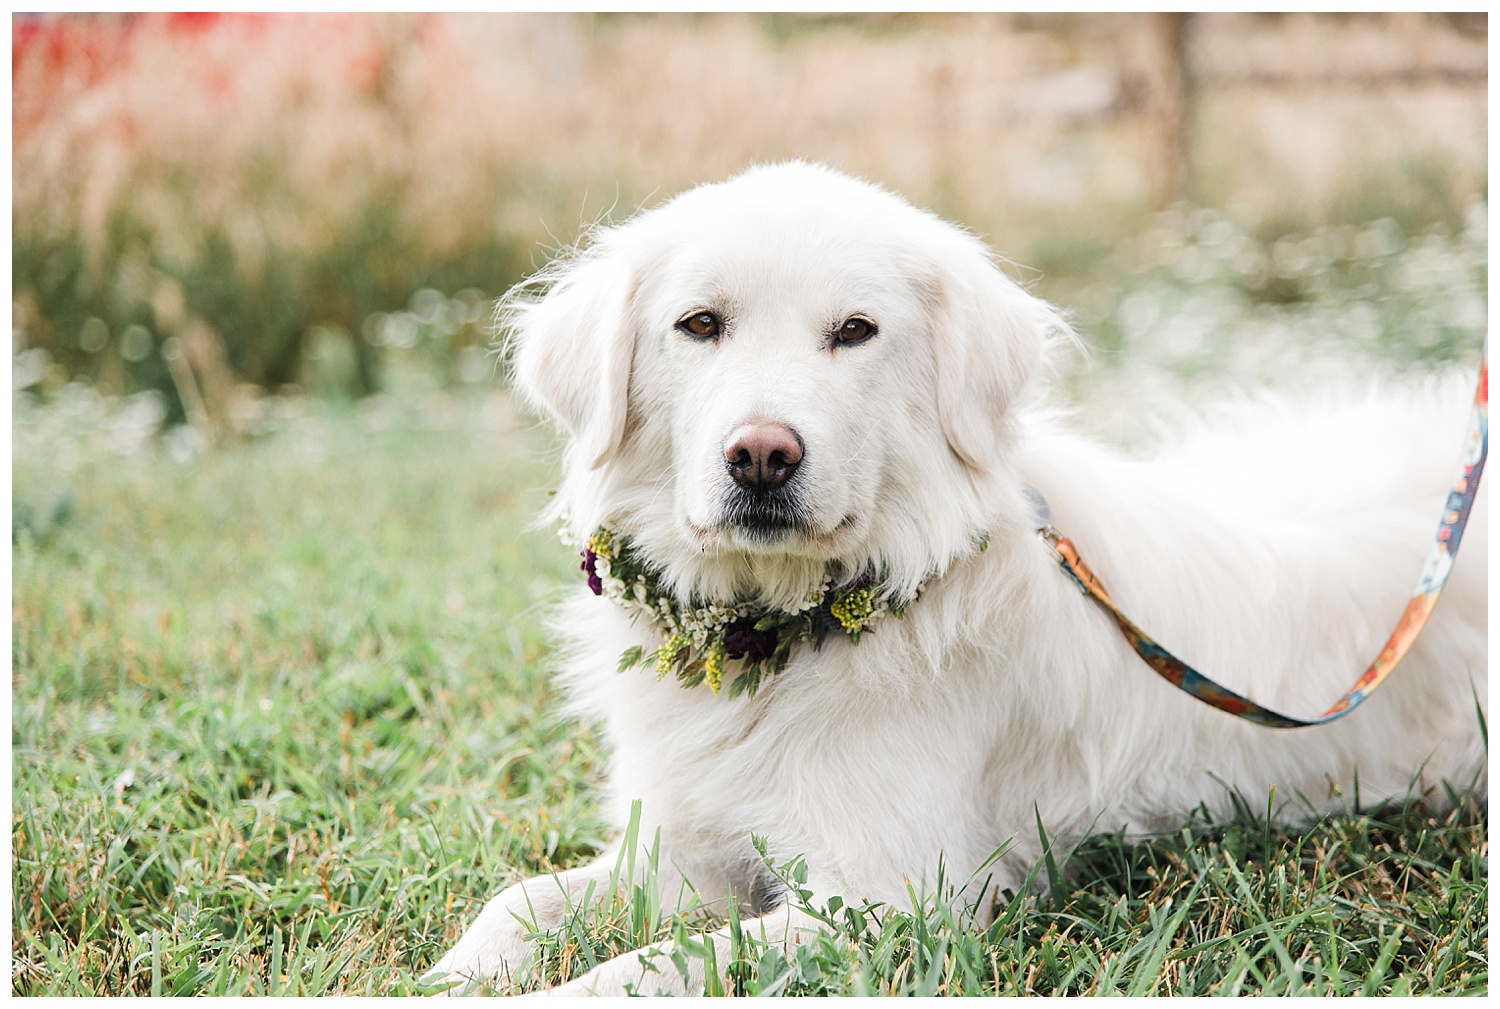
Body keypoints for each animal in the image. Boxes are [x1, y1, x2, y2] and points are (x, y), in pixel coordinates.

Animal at [426, 163, 1488, 989]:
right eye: (699, 324)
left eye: (855, 331)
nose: (762, 456)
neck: (776, 642)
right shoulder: (682, 848)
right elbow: (522, 899)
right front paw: (456, 973)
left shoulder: (887, 899)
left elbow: (650, 965)